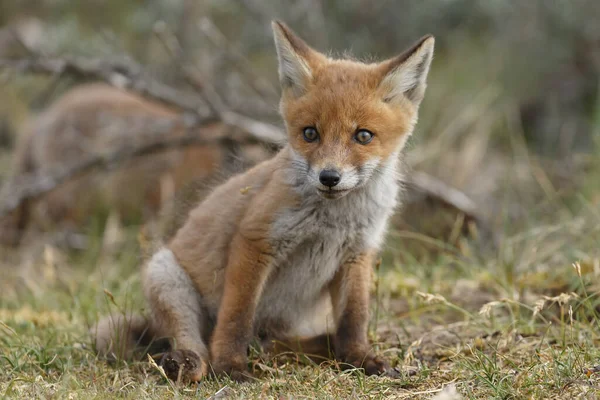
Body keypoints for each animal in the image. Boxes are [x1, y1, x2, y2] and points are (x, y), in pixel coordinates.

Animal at [94, 21, 434, 382]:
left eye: (363, 136)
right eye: (310, 133)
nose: (329, 177)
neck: (333, 221)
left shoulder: (357, 253)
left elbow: (353, 320)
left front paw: (360, 358)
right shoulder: (255, 240)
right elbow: (236, 317)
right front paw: (230, 366)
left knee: (276, 343)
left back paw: (320, 348)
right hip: (167, 277)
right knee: (194, 339)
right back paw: (186, 361)